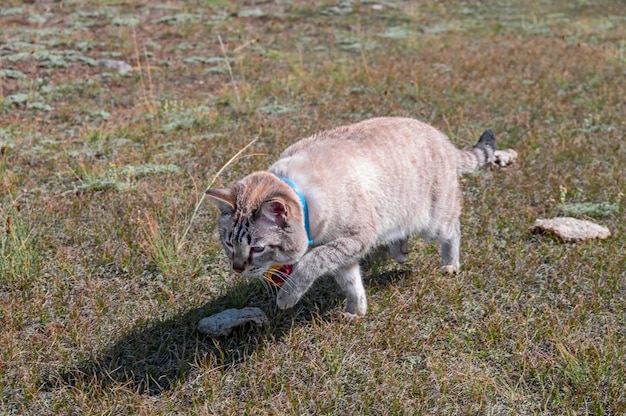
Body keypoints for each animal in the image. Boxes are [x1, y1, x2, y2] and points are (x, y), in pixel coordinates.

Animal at [207, 116, 494, 316]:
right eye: (229, 244)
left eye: (257, 248)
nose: (236, 268)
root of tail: (444, 139)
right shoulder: (343, 250)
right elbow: (351, 281)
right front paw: (356, 312)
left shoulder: (354, 239)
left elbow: (310, 262)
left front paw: (286, 298)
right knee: (400, 234)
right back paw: (400, 252)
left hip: (434, 223)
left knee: (453, 230)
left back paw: (450, 265)